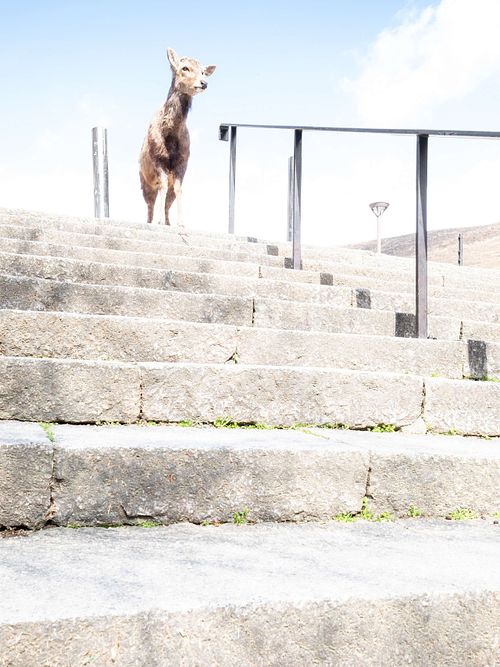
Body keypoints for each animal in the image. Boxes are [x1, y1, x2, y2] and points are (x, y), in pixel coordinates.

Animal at [139, 48, 216, 226]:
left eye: (203, 71)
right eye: (184, 68)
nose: (204, 83)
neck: (170, 136)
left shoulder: (183, 160)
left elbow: (178, 189)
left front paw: (181, 223)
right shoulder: (158, 158)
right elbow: (162, 187)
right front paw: (160, 221)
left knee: (168, 200)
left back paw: (168, 222)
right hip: (143, 180)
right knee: (150, 203)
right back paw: (151, 221)